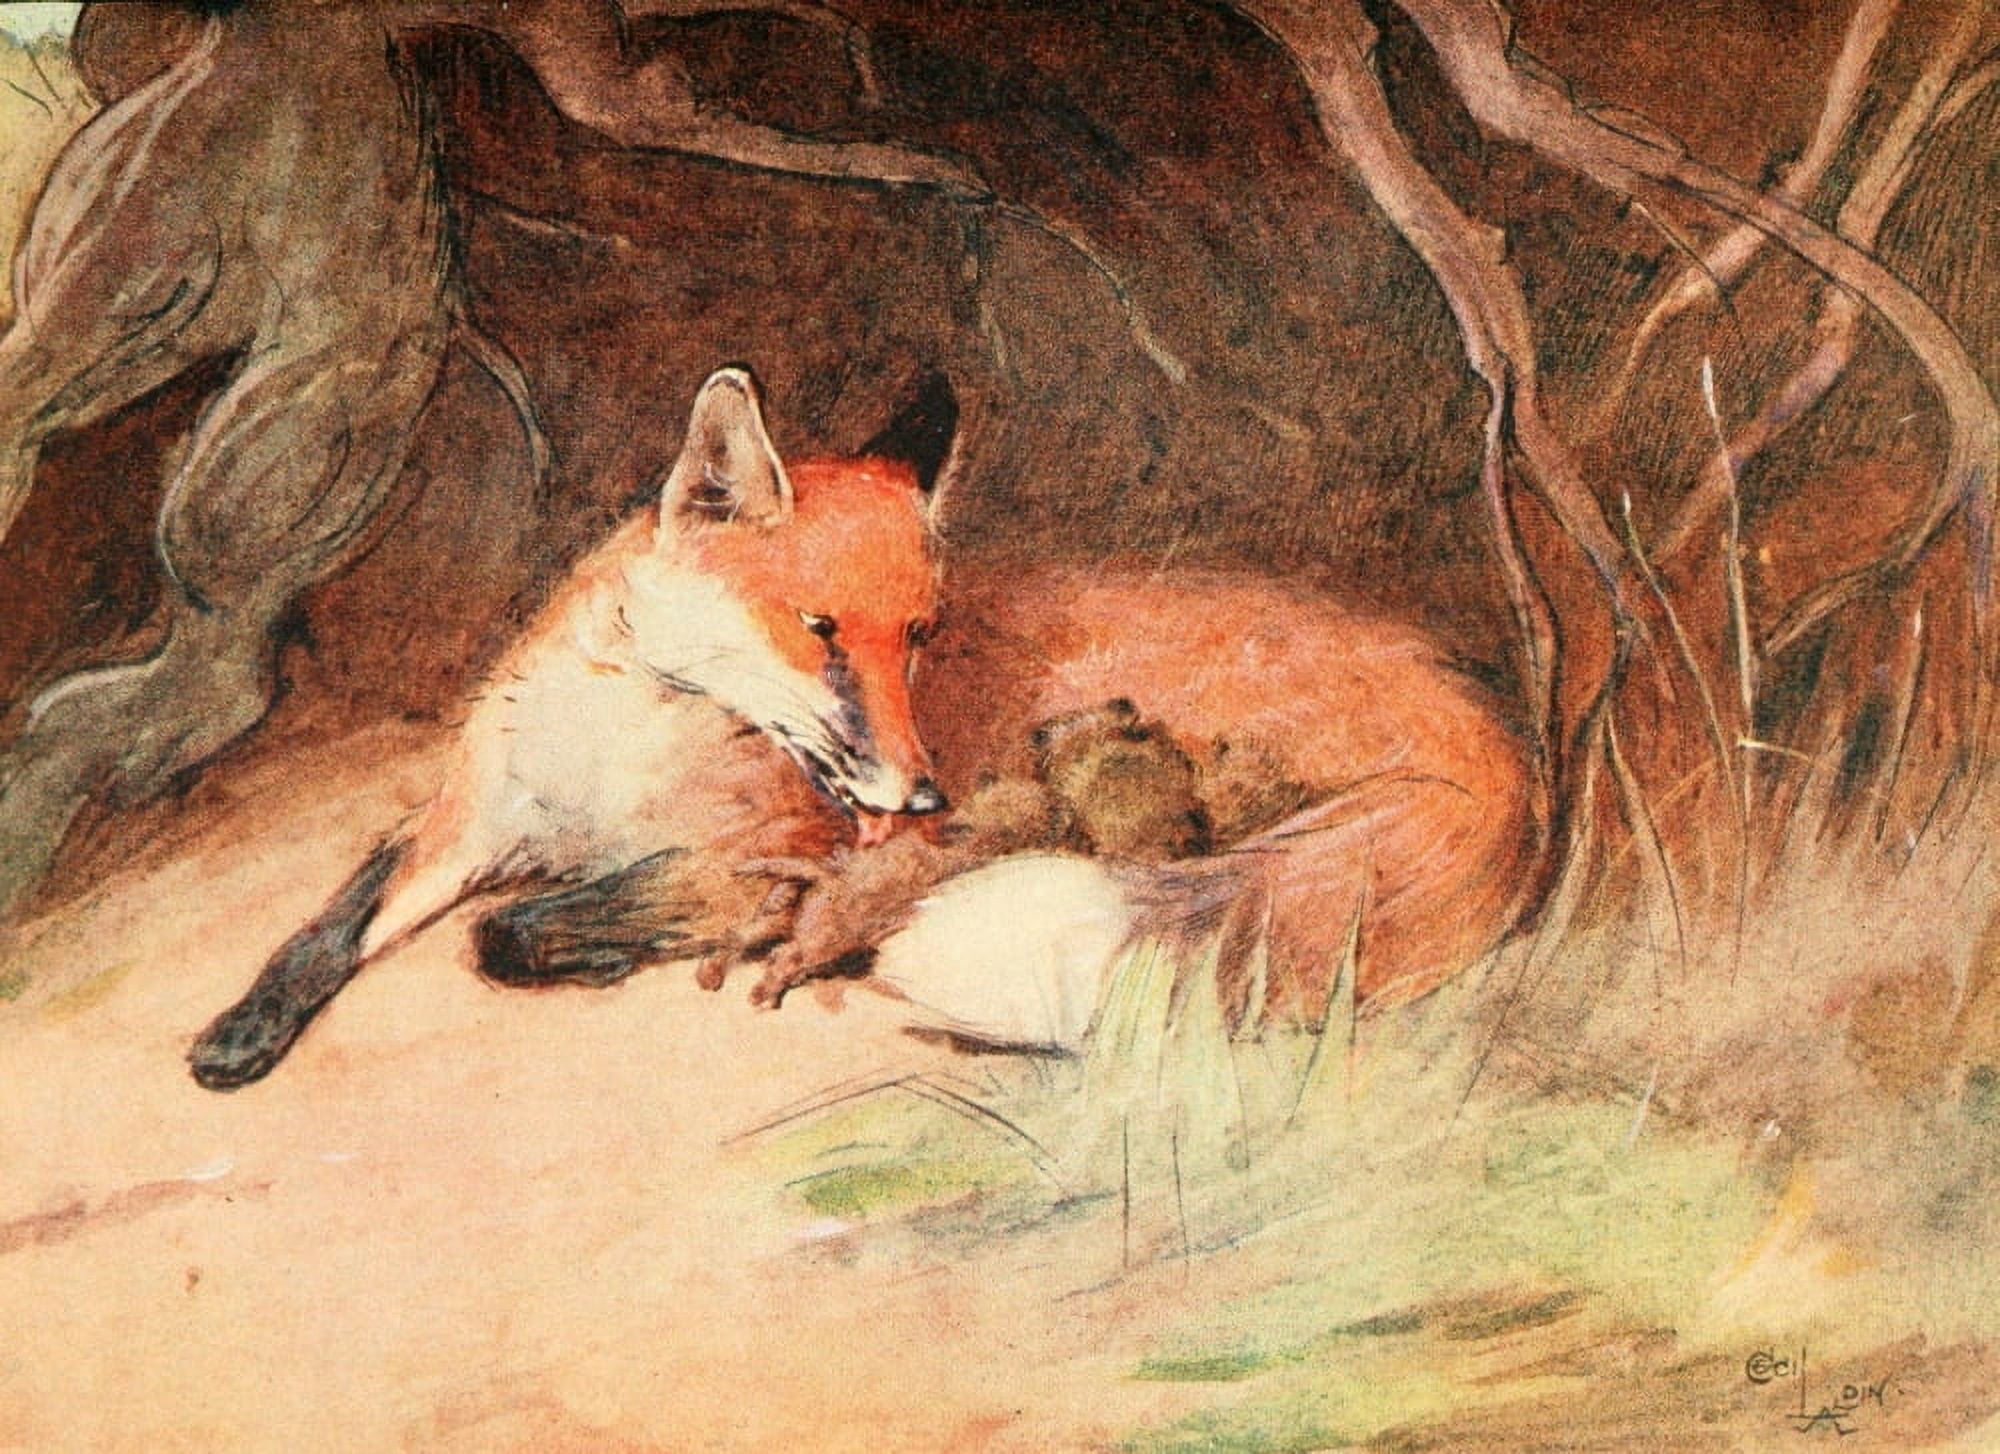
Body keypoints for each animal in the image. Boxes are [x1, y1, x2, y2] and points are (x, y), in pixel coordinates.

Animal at [188, 365, 957, 1089]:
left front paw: (601, 953)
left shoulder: (771, 852)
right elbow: (331, 930)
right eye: (818, 628)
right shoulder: (464, 822)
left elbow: (508, 927)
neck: (602, 766)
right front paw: (247, 1026)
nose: (926, 800)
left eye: (918, 636)